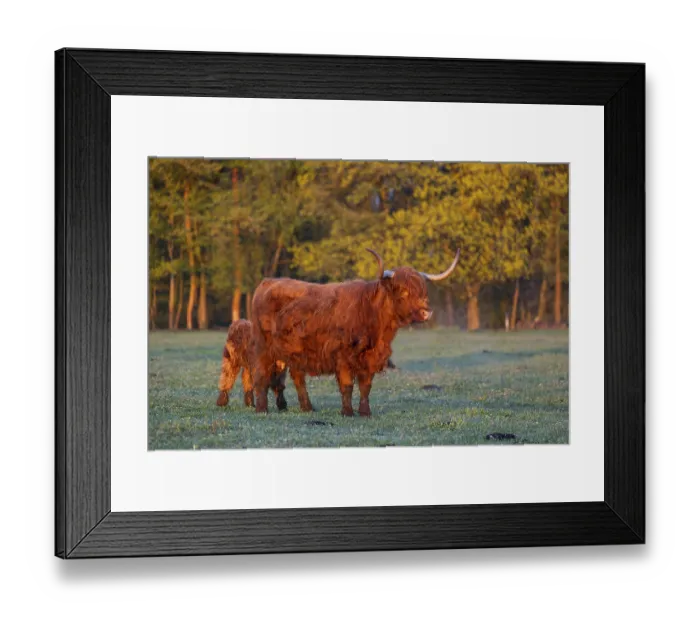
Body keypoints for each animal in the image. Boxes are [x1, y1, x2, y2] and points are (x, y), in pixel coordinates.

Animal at [250, 248, 460, 417]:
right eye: (403, 291)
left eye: (423, 291)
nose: (426, 312)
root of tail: (268, 282)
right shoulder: (342, 355)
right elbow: (347, 385)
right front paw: (347, 412)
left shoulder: (371, 357)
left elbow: (366, 386)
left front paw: (365, 412)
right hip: (263, 347)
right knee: (261, 375)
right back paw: (262, 409)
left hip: (295, 352)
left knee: (297, 377)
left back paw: (307, 408)